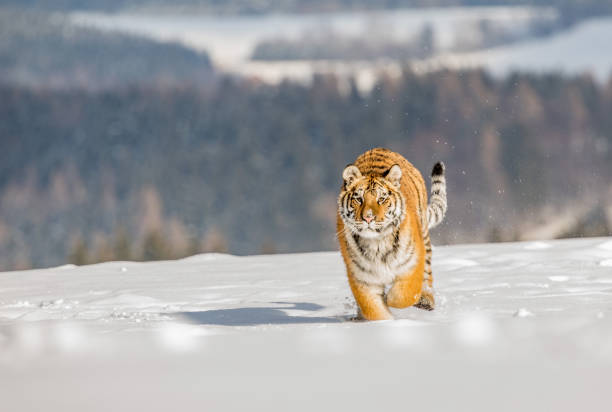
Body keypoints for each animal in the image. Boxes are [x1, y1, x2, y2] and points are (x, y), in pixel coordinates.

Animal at [338, 146, 448, 320]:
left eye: (381, 199)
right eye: (359, 199)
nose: (368, 217)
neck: (377, 243)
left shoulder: (412, 263)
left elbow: (404, 295)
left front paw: (389, 299)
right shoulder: (362, 278)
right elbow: (374, 309)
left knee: (427, 275)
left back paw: (426, 300)